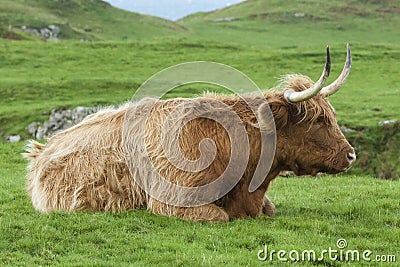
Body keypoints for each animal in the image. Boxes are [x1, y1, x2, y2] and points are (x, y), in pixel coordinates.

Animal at [25, 45, 356, 222]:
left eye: (331, 116)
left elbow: (270, 209)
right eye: (318, 120)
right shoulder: (172, 201)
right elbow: (220, 216)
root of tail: (42, 148)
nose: (351, 154)